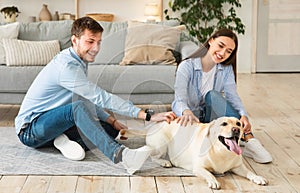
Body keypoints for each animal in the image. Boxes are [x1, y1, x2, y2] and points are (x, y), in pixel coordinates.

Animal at [120, 116, 268, 188]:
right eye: (224, 124)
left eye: (238, 124)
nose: (236, 130)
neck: (221, 151)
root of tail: (152, 127)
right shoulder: (198, 168)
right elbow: (209, 173)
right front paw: (213, 181)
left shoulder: (238, 167)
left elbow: (249, 172)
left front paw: (258, 177)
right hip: (162, 143)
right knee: (153, 156)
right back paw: (164, 162)